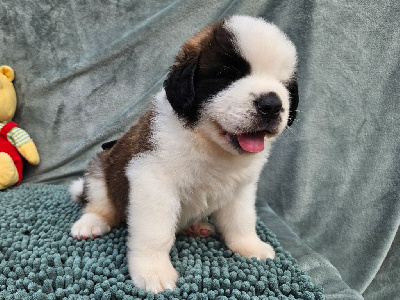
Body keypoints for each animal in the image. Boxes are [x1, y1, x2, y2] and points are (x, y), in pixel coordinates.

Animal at [70, 15, 298, 292]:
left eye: (285, 85)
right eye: (226, 75)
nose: (272, 104)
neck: (208, 142)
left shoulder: (241, 187)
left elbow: (242, 219)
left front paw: (249, 245)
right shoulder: (151, 180)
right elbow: (155, 233)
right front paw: (153, 270)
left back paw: (196, 227)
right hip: (100, 171)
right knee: (100, 202)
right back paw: (91, 223)